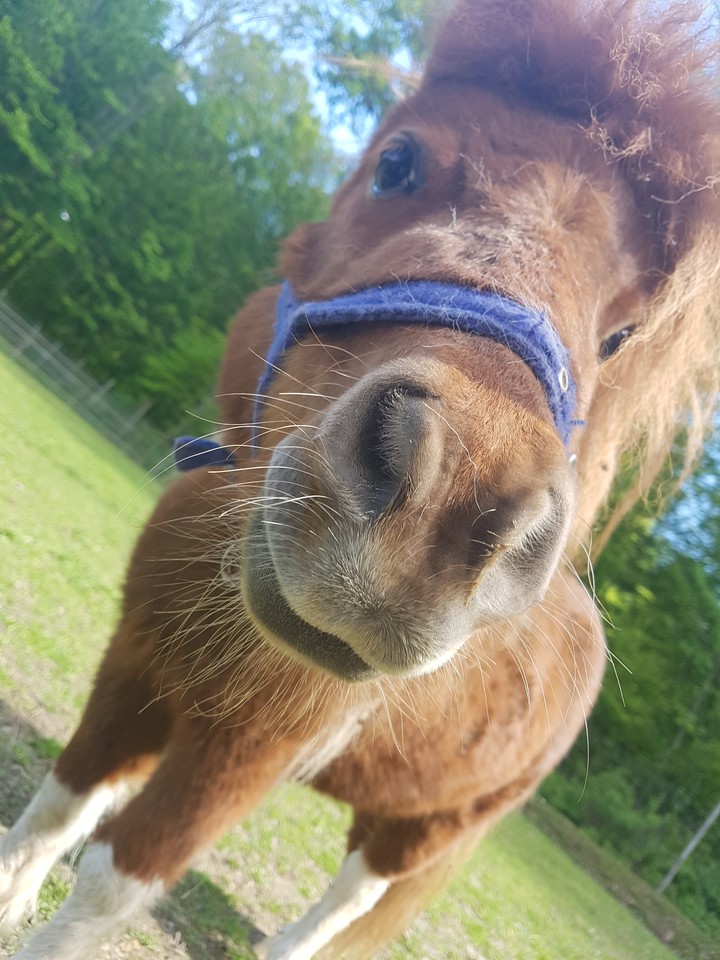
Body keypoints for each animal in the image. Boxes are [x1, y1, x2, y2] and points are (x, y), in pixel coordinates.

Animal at [2, 1, 720, 957]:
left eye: (621, 334)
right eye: (395, 162)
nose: (448, 513)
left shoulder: (244, 751)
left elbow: (111, 883)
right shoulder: (139, 663)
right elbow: (58, 805)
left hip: (432, 828)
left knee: (362, 891)